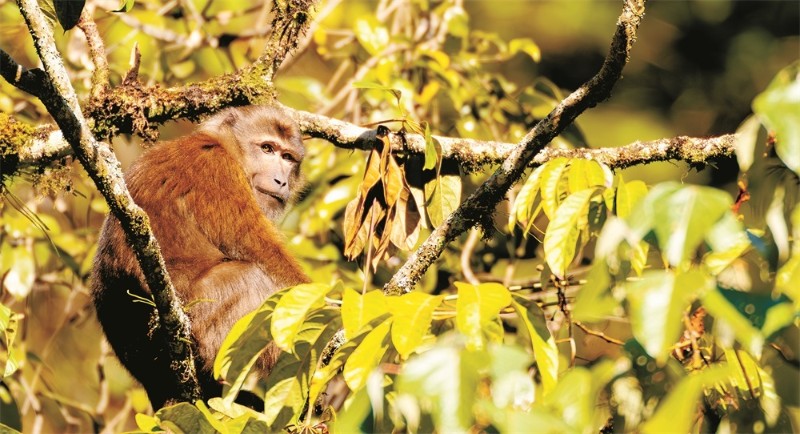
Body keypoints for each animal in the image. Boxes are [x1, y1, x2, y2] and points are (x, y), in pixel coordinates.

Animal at [90, 105, 310, 410]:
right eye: (267, 148)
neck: (225, 146)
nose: (282, 180)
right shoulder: (216, 168)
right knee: (250, 278)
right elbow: (265, 256)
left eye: (288, 157)